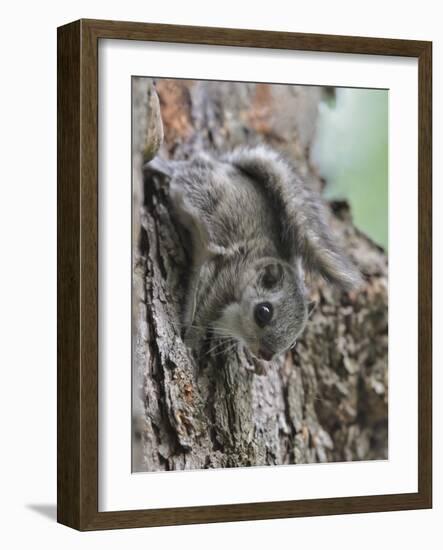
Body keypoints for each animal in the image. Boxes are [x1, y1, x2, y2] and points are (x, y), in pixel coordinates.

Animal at [147, 144, 362, 364]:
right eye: (263, 312)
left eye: (294, 342)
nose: (267, 356)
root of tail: (221, 164)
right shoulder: (222, 277)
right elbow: (200, 311)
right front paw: (190, 342)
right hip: (199, 190)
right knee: (181, 172)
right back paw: (160, 165)